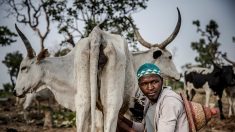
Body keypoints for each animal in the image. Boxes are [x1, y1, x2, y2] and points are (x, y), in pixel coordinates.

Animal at [13, 8, 182, 131]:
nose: (15, 91)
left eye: (23, 68)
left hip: (84, 102)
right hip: (111, 104)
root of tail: (97, 34)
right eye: (170, 57)